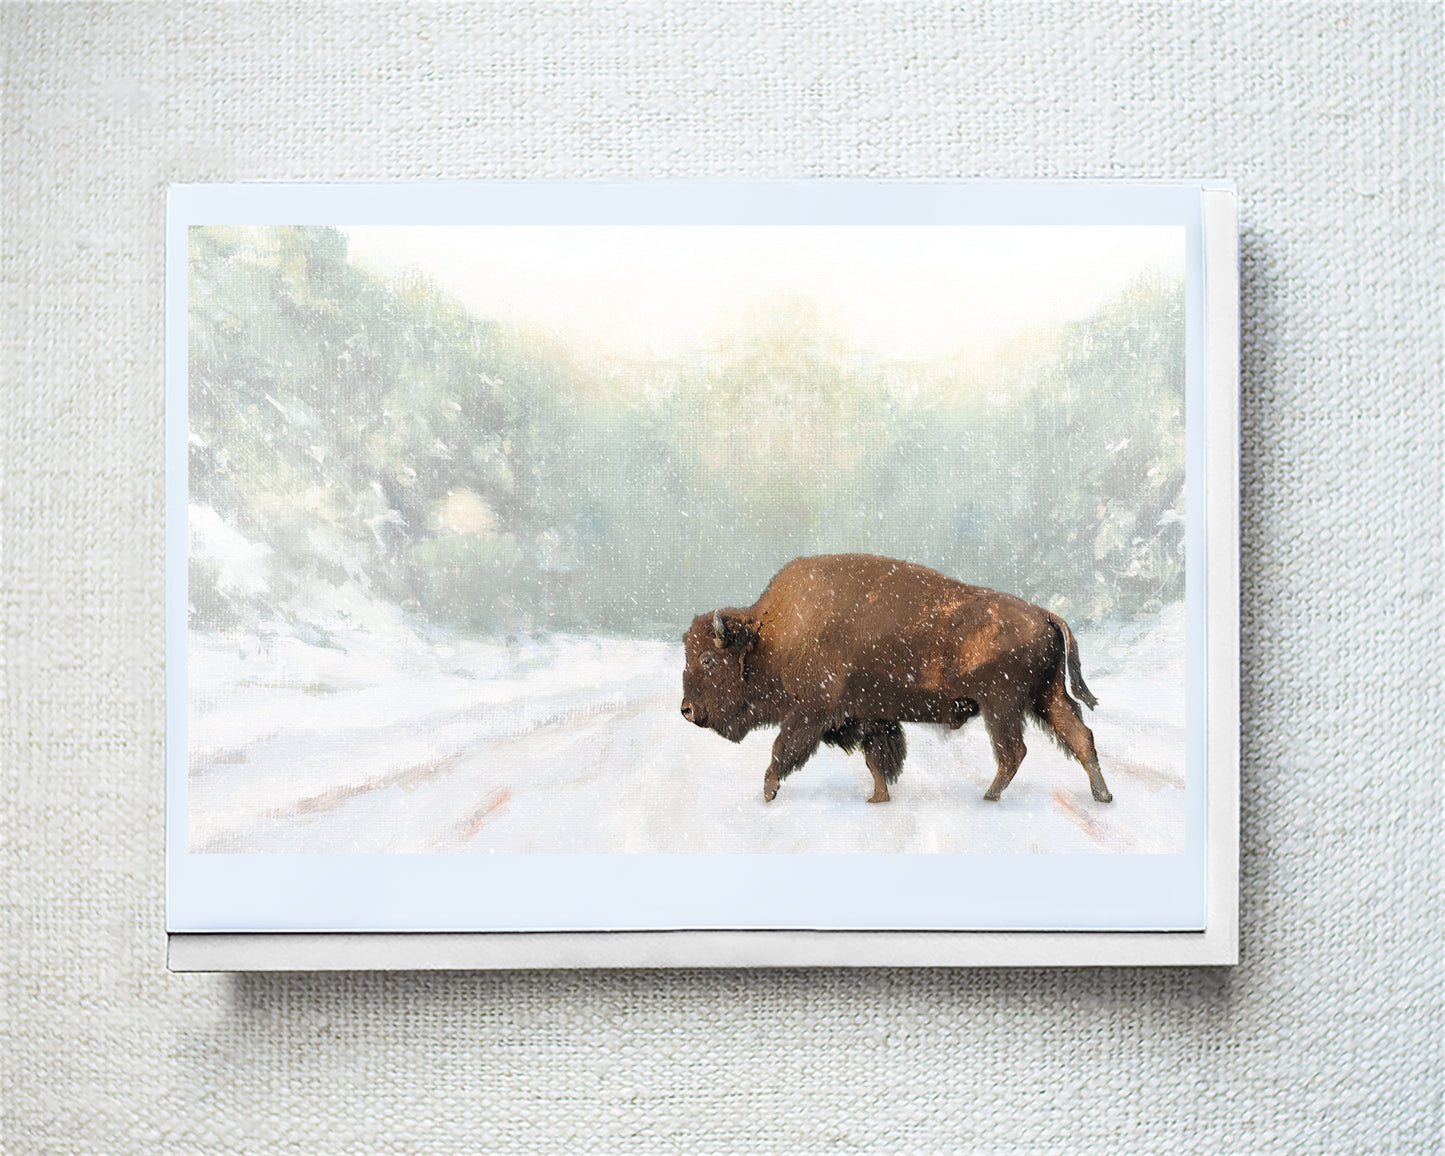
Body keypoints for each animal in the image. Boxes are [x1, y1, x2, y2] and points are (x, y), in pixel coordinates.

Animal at [680, 554, 1112, 805]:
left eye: (707, 659)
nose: (686, 710)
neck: (770, 634)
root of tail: (1045, 614)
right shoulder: (871, 716)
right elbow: (877, 758)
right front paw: (879, 798)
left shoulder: (810, 712)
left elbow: (782, 749)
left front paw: (768, 792)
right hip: (1045, 697)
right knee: (1079, 736)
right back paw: (1103, 795)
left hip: (1002, 704)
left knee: (1014, 750)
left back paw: (989, 796)